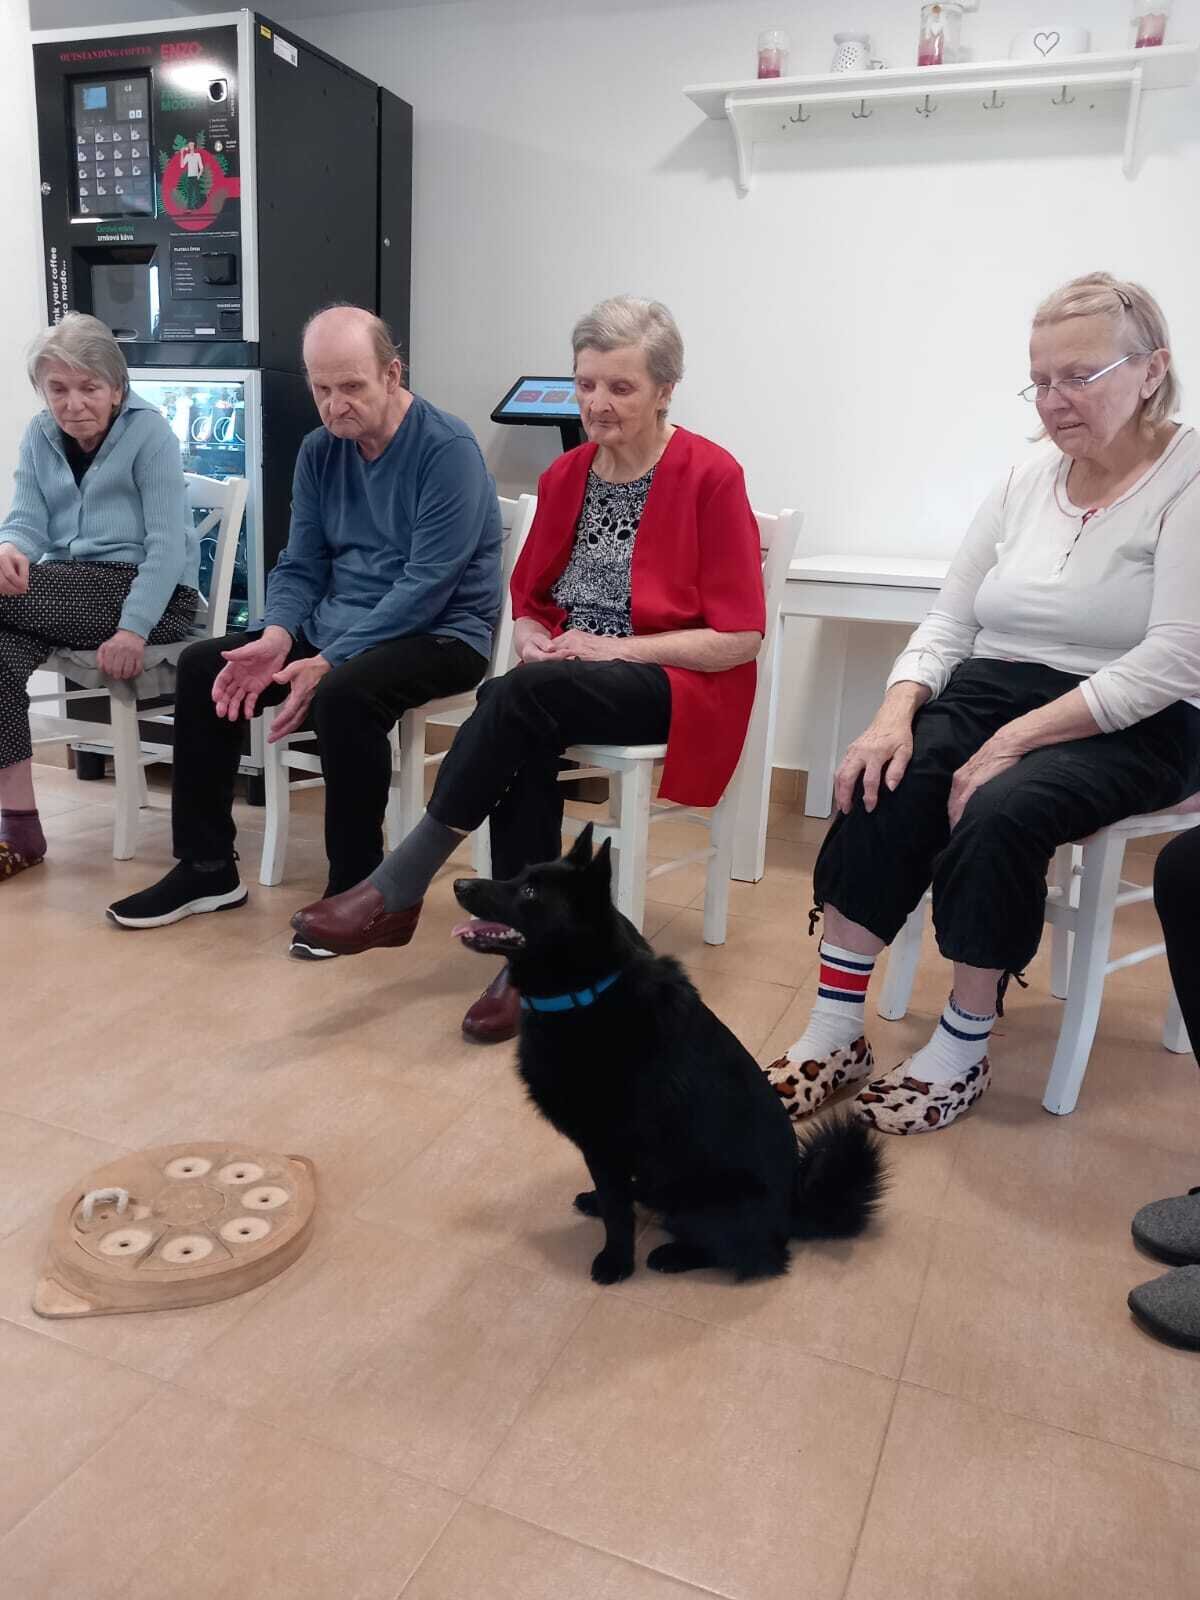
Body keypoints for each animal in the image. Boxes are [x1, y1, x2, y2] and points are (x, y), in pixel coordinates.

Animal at [453, 826, 884, 1285]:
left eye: (530, 891)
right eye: (518, 875)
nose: (459, 884)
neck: (590, 990)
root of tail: (792, 1211)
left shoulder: (606, 1145)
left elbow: (618, 1214)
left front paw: (617, 1261)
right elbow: (614, 1199)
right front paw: (605, 1216)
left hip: (705, 1203)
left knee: (755, 1255)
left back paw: (675, 1254)